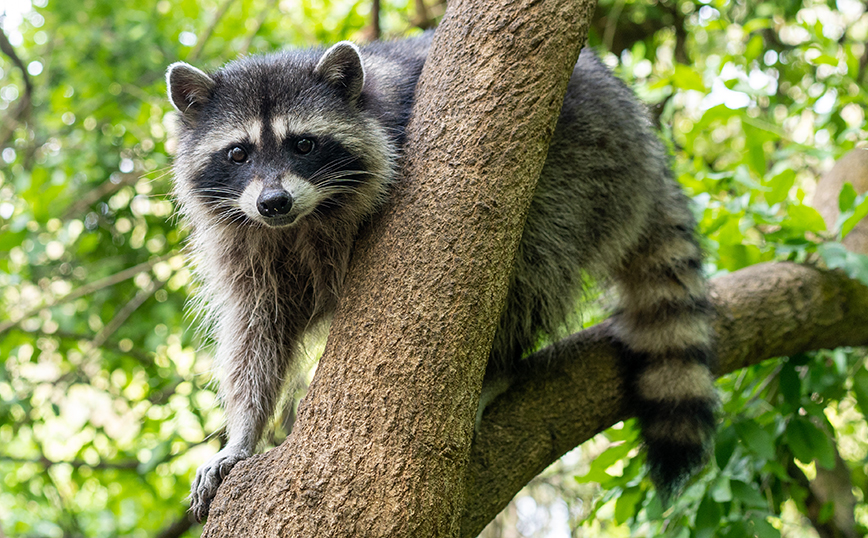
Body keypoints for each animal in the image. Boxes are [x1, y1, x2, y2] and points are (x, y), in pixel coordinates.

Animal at [166, 30, 716, 520]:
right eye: (238, 153)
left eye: (303, 145)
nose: (273, 202)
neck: (301, 220)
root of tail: (644, 140)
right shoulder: (245, 243)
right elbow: (257, 331)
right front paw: (243, 432)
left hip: (588, 162)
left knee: (532, 259)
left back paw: (499, 366)